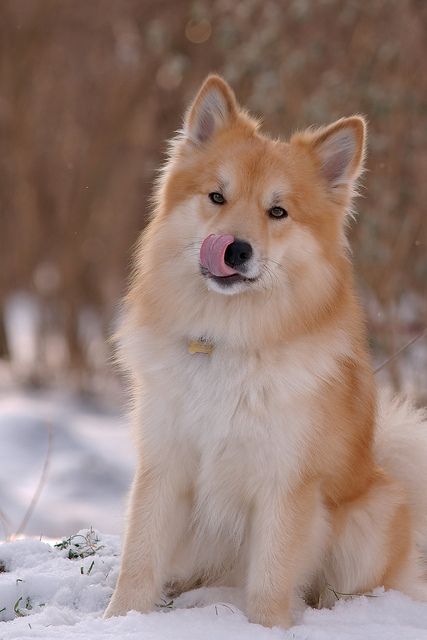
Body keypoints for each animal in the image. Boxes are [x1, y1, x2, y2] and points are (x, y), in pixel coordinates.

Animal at [105, 74, 427, 624]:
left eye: (278, 212)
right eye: (217, 196)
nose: (235, 248)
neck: (227, 341)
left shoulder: (285, 485)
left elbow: (272, 580)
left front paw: (268, 627)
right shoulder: (165, 464)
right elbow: (139, 560)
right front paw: (121, 620)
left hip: (371, 517)